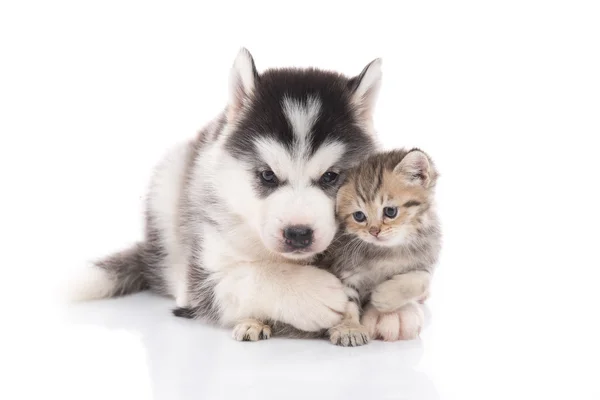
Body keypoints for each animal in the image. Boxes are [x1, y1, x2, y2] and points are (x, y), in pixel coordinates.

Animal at [69, 48, 380, 340]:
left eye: (330, 176)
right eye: (267, 175)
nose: (298, 234)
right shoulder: (205, 274)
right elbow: (246, 276)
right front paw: (311, 293)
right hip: (167, 180)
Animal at [324, 148, 440, 346]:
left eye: (390, 211)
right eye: (359, 216)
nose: (374, 231)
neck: (388, 250)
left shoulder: (427, 255)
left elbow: (421, 279)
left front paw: (383, 297)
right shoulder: (344, 268)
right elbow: (346, 301)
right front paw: (349, 328)